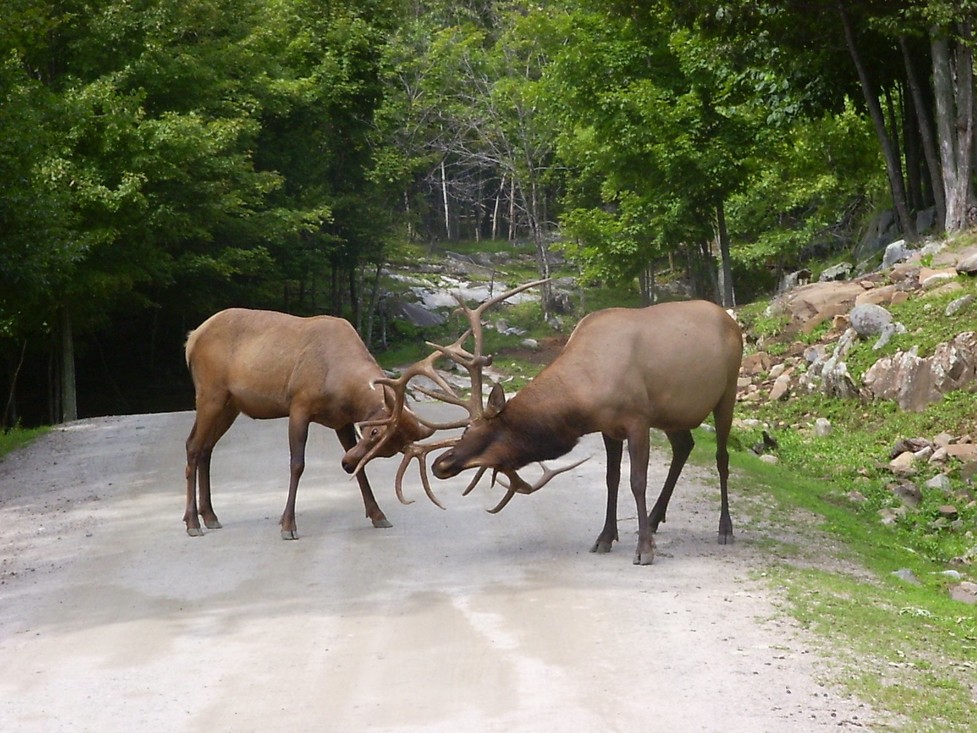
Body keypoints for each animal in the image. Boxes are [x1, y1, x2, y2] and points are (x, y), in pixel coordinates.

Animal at [184, 306, 434, 540]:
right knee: (193, 445)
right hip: (210, 393)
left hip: (231, 405)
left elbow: (360, 468)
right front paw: (288, 525)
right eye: (373, 431)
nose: (346, 464)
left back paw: (210, 516)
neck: (343, 388)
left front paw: (378, 515)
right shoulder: (299, 404)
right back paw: (192, 522)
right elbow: (297, 464)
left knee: (206, 448)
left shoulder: (341, 421)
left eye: (389, 451)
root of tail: (192, 339)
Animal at [370, 294, 744, 568]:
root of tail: (731, 320)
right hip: (672, 415)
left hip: (727, 392)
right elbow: (612, 479)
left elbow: (637, 481)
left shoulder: (638, 419)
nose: (441, 464)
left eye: (476, 433)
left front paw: (644, 550)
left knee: (722, 457)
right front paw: (606, 537)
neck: (585, 395)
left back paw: (725, 528)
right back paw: (653, 520)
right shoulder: (610, 428)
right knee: (685, 445)